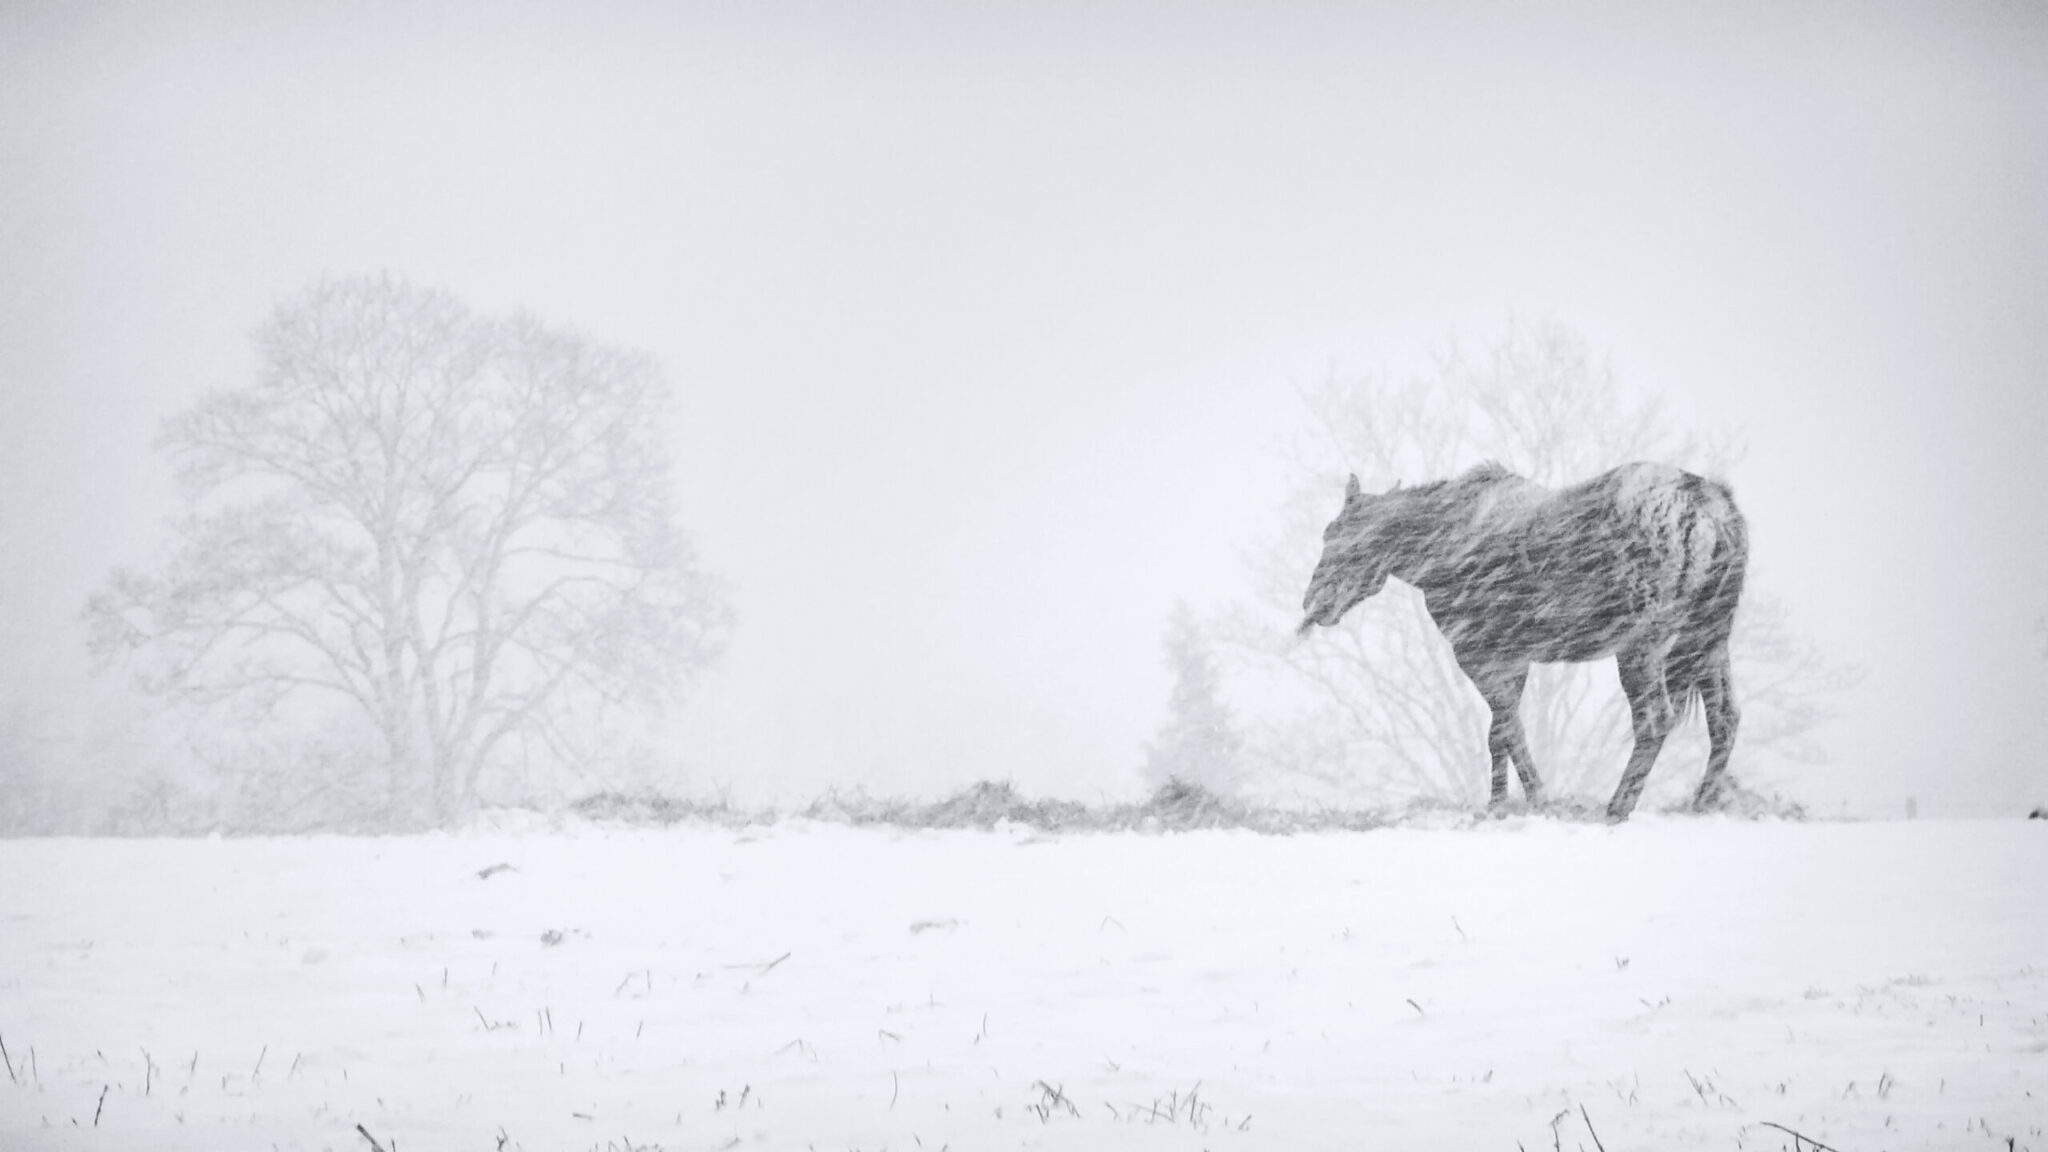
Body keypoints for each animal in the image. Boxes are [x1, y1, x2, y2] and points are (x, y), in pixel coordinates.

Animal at [1302, 457, 1753, 815]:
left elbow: (1508, 730)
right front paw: (1499, 803)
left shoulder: (1478, 653)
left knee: (1656, 720)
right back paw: (1700, 804)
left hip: (1643, 647)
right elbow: (1498, 732)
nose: (1314, 604)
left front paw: (1536, 799)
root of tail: (1714, 510)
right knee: (1725, 719)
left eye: (1344, 537)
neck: (1439, 548)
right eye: (1328, 534)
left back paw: (1617, 808)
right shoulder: (1512, 659)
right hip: (1707, 641)